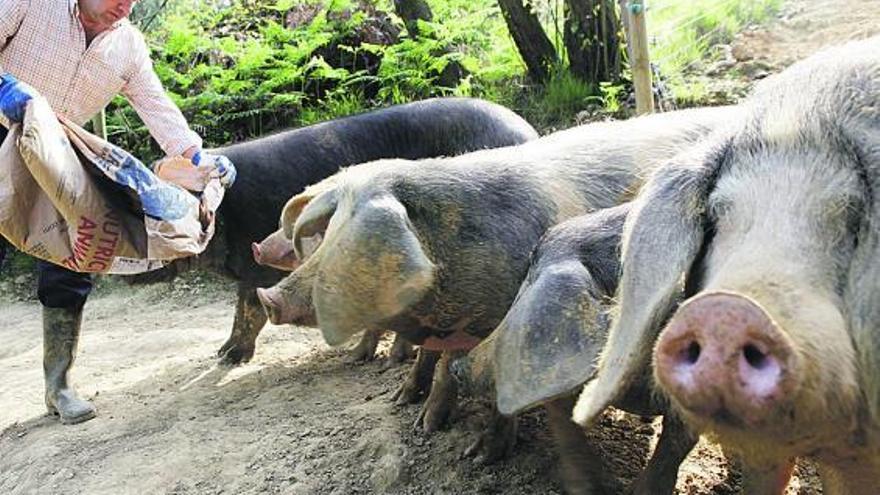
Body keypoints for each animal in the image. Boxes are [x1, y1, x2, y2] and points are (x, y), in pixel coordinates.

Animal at [127, 99, 540, 366]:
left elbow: (248, 308)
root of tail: (526, 129)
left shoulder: (254, 268)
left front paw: (230, 360)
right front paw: (220, 354)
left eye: (150, 210)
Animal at [262, 102, 744, 448]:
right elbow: (433, 361)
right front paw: (414, 415)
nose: (269, 298)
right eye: (323, 236)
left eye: (344, 244)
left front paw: (475, 452)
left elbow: (475, 375)